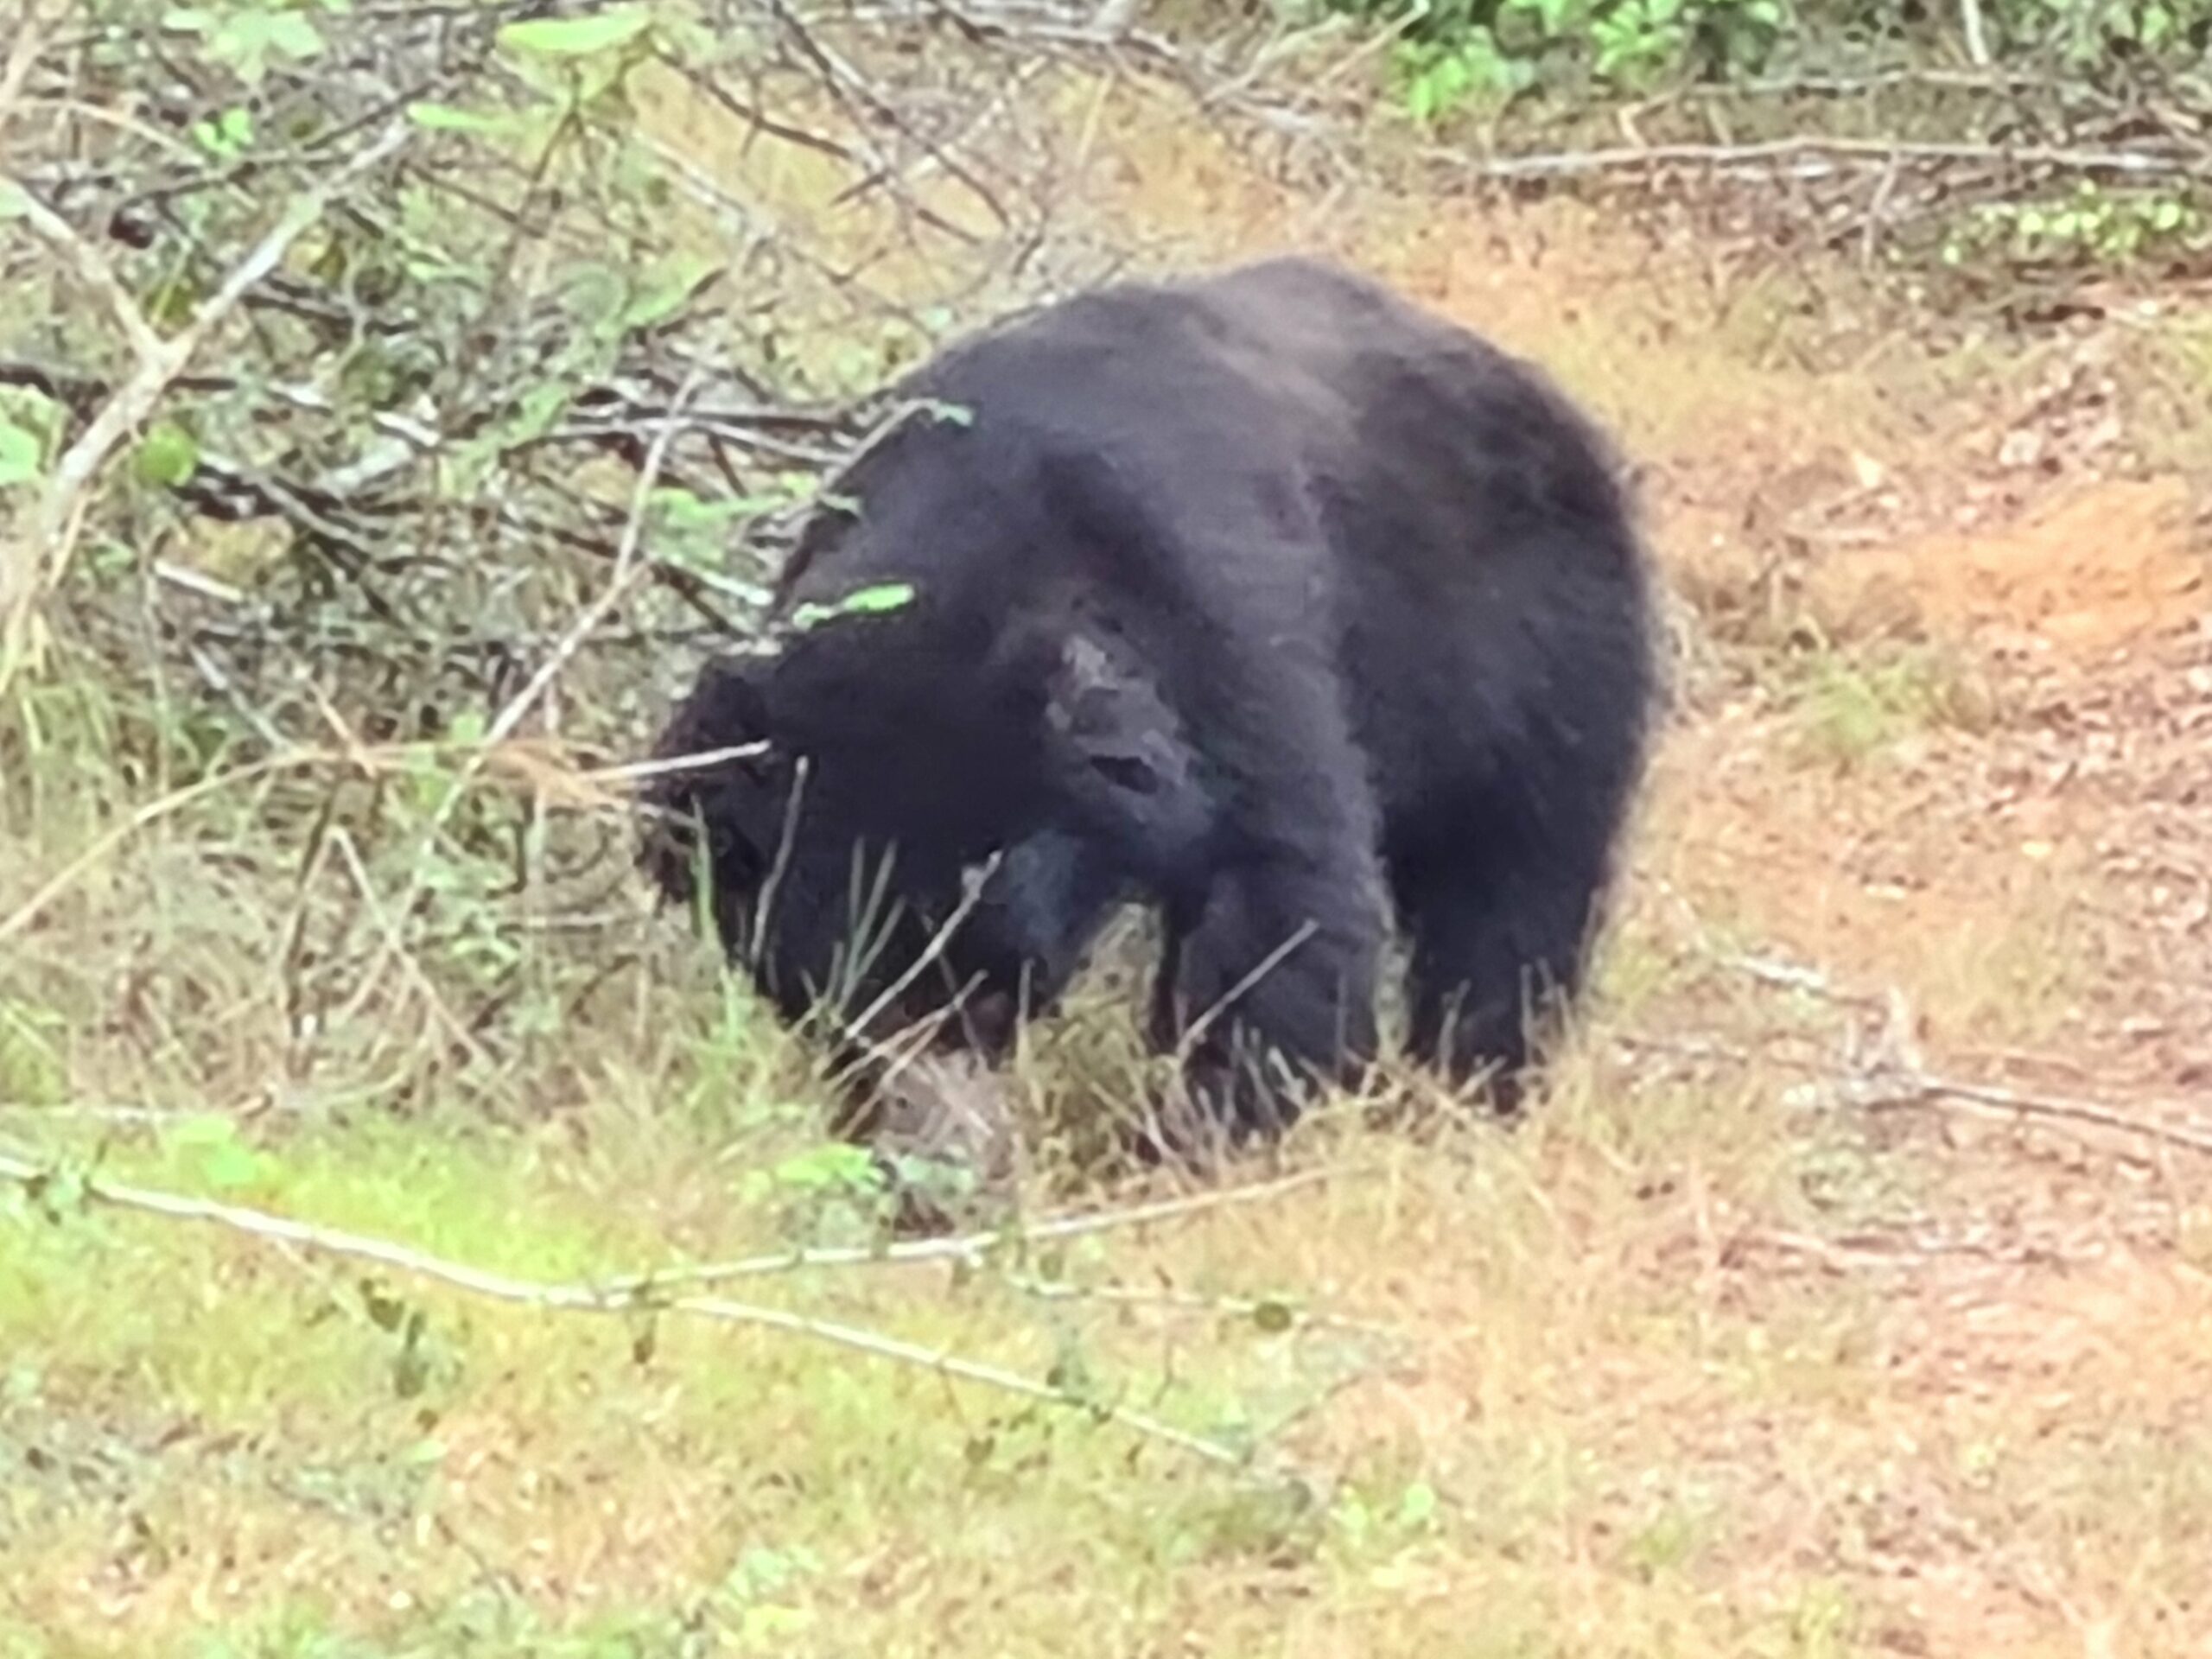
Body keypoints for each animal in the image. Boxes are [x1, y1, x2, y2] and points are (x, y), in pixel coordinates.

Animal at [641, 256, 1663, 1159]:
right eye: (826, 993)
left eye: (999, 984)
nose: (945, 1144)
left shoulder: (1220, 627)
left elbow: (1277, 896)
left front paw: (1199, 1140)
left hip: (1544, 665)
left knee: (1515, 889)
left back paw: (1471, 1087)